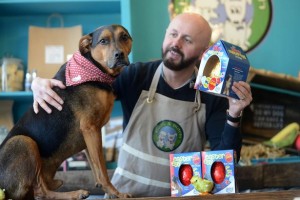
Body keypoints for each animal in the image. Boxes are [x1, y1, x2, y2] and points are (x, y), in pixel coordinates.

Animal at [0, 24, 132, 199]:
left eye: (124, 37)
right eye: (103, 41)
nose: (119, 54)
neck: (95, 70)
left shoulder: (90, 135)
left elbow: (96, 166)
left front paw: (108, 192)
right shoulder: (90, 128)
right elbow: (102, 170)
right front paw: (116, 193)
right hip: (23, 141)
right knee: (41, 192)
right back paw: (75, 194)